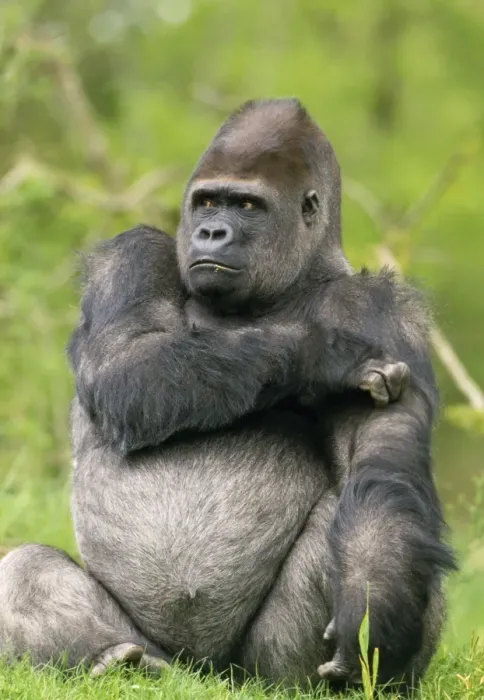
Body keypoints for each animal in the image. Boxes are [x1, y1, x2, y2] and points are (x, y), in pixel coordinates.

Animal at [0, 98, 456, 691]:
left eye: (246, 205)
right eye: (207, 202)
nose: (212, 232)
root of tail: (202, 673)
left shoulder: (386, 310)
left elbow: (379, 471)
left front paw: (374, 600)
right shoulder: (131, 256)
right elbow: (126, 365)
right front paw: (322, 352)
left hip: (254, 672)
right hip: (163, 653)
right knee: (25, 569)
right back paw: (113, 657)